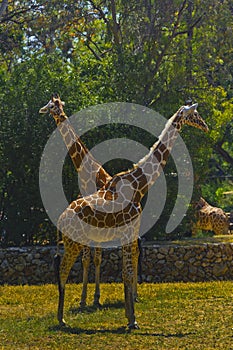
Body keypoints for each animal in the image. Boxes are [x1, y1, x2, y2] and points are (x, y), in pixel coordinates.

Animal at [39, 94, 142, 308]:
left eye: (55, 105)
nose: (51, 111)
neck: (89, 175)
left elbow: (96, 258)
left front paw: (93, 298)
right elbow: (89, 259)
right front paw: (86, 298)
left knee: (136, 251)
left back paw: (135, 295)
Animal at [55, 101, 209, 328]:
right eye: (195, 114)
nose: (206, 127)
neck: (139, 184)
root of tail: (60, 219)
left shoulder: (129, 232)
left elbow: (125, 272)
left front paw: (129, 315)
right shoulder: (128, 231)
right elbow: (126, 273)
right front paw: (132, 321)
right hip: (74, 242)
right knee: (63, 270)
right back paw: (62, 319)